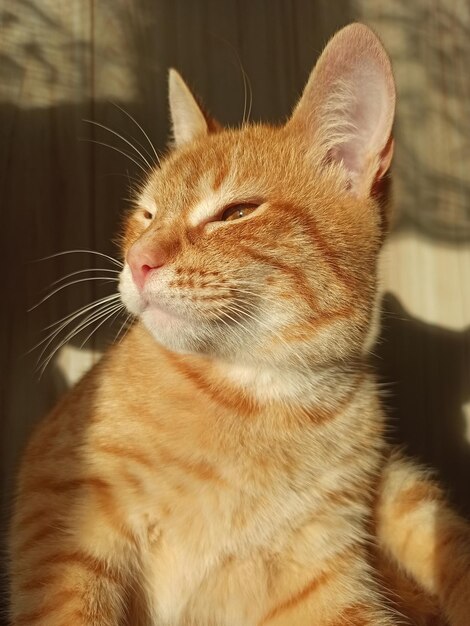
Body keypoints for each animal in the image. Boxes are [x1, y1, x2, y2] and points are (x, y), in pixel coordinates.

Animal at [8, 22, 470, 620]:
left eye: (236, 213)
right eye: (147, 214)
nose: (138, 260)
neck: (262, 398)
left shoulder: (323, 571)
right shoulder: (63, 515)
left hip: (405, 491)